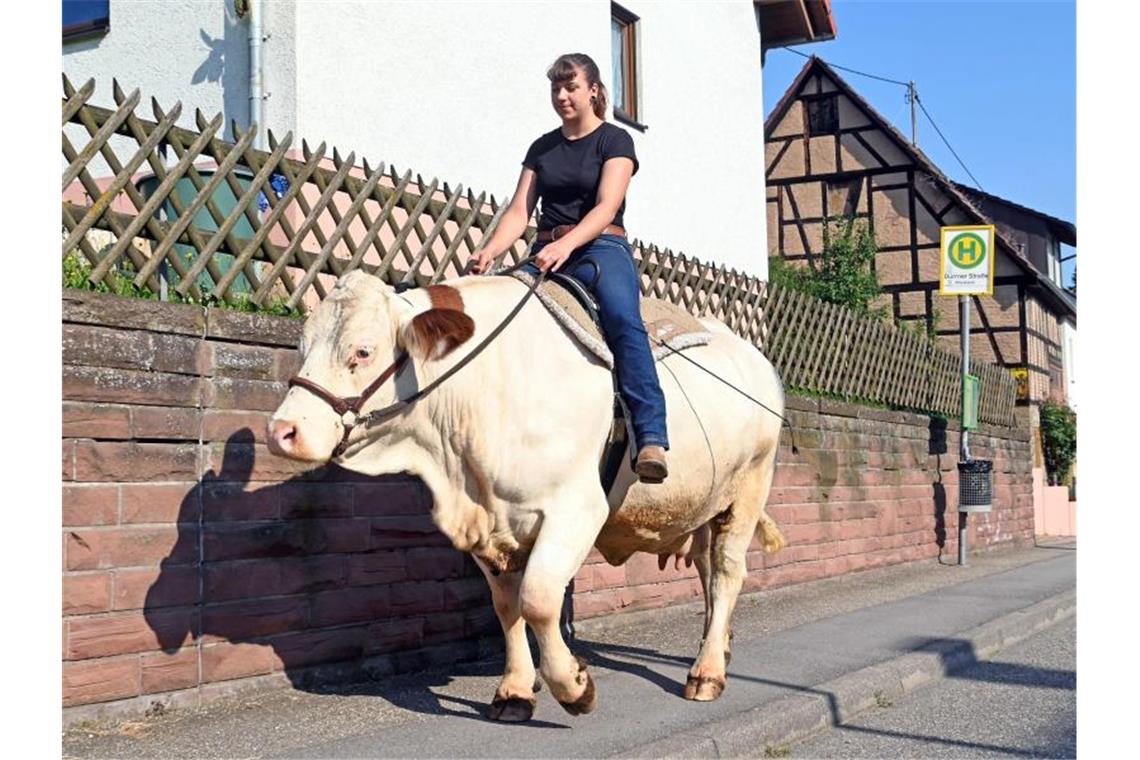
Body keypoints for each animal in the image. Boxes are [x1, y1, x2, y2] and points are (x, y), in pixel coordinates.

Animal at [266, 270, 784, 724]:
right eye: (302, 347)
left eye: (363, 351)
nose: (282, 432)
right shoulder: (490, 524)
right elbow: (506, 605)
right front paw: (515, 691)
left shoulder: (576, 510)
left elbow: (537, 600)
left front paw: (574, 687)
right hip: (706, 505)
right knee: (707, 571)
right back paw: (718, 646)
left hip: (749, 488)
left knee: (727, 572)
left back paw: (707, 673)